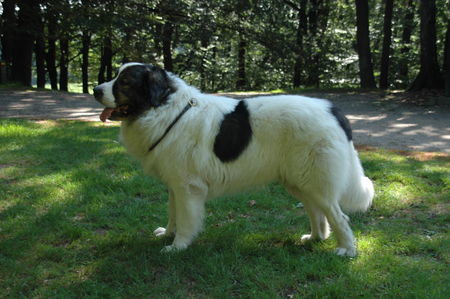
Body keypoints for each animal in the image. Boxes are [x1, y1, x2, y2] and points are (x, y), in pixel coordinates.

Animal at [92, 62, 372, 256]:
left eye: (124, 82)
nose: (95, 89)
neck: (165, 109)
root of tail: (332, 109)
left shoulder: (187, 186)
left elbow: (185, 218)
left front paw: (178, 246)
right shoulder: (174, 183)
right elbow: (173, 213)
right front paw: (167, 234)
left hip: (316, 180)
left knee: (338, 216)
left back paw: (347, 249)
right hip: (299, 180)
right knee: (317, 212)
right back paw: (314, 238)